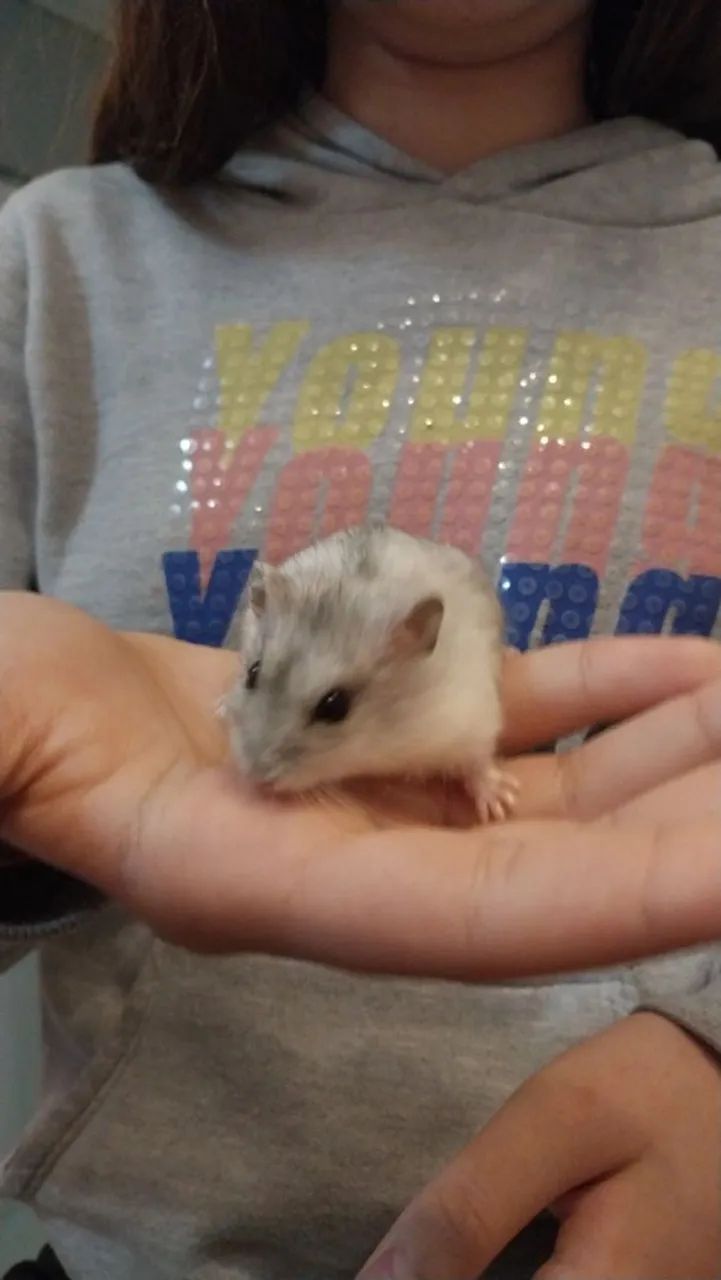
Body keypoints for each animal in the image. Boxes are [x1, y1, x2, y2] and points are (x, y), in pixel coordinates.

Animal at [224, 525, 518, 822]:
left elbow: (477, 761)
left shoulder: (469, 719)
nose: (255, 779)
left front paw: (500, 803)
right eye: (252, 673)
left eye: (335, 706)